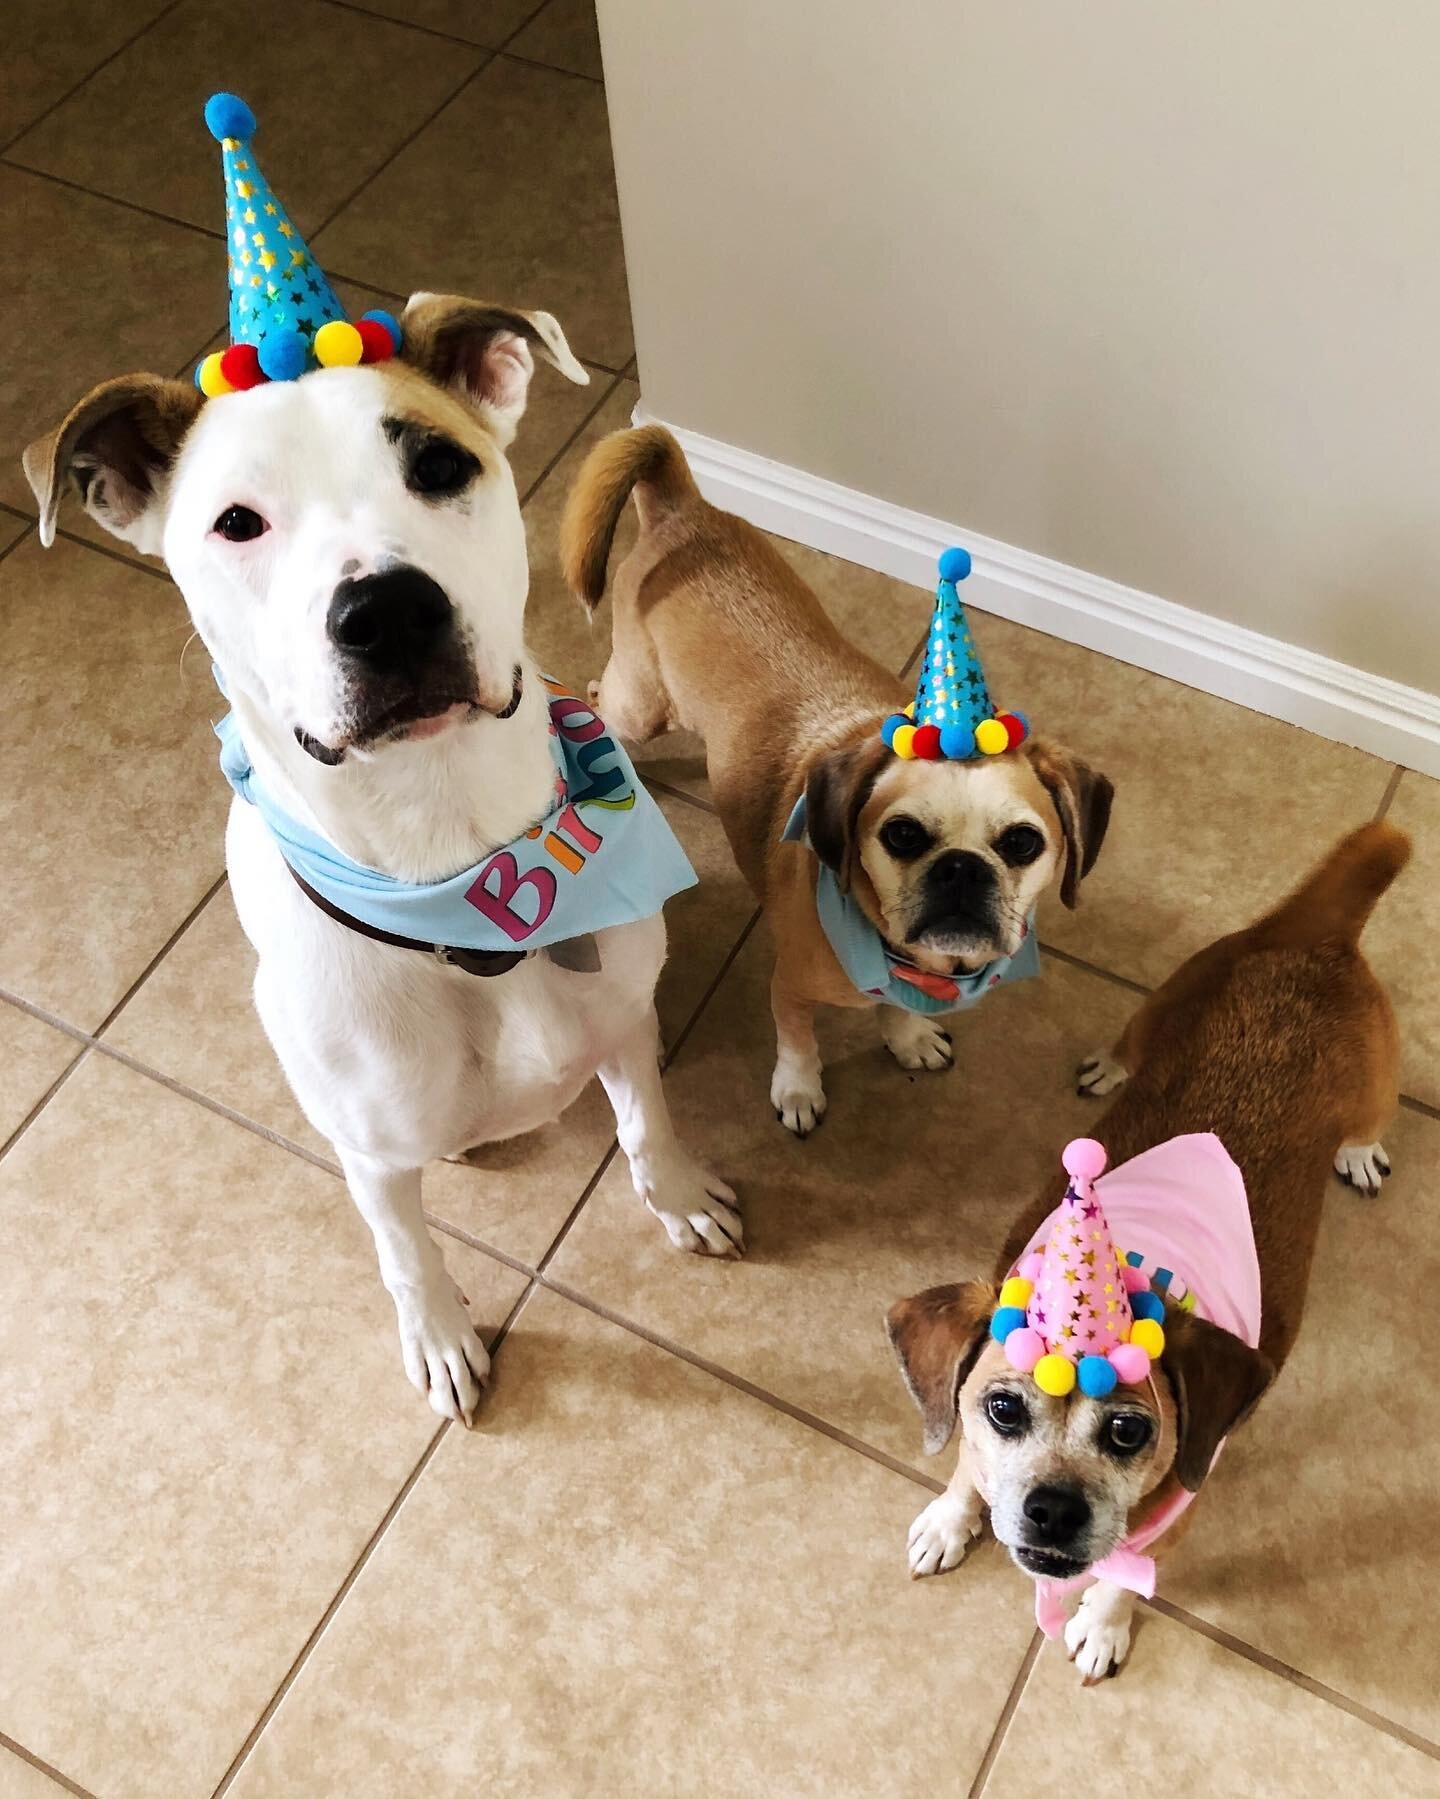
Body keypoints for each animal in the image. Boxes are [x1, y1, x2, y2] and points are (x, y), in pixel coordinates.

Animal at [22, 291, 741, 1417]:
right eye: (237, 521)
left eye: (440, 465)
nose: (388, 609)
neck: (472, 885)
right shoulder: (369, 1153)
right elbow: (406, 1250)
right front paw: (441, 1334)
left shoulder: (625, 1019)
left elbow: (647, 1122)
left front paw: (675, 1193)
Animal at [558, 428, 1116, 1129]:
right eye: (901, 835)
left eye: (1022, 843)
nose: (961, 868)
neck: (912, 961)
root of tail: (681, 508)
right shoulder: (790, 988)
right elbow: (799, 1042)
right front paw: (799, 1090)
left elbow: (896, 1012)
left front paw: (907, 1037)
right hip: (641, 706)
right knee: (599, 703)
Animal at [882, 823, 1411, 1676]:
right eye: (1004, 1407)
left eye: (1131, 1431)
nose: (1052, 1508)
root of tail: (1317, 940)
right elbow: (964, 1461)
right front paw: (951, 1514)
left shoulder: (1176, 1520)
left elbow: (1125, 1580)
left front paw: (1102, 1622)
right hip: (1163, 999)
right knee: (1132, 1044)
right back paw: (1110, 1065)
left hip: (1377, 1091)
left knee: (1368, 1124)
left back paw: (1360, 1153)